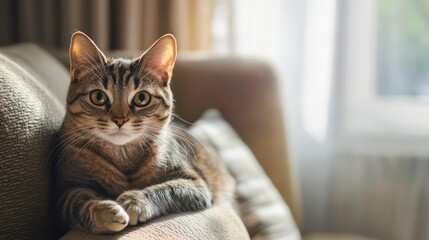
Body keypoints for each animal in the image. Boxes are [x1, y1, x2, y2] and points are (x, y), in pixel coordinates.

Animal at [52, 31, 237, 233]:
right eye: (98, 96)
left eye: (141, 98)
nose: (120, 119)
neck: (123, 158)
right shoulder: (67, 189)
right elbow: (80, 203)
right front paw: (104, 211)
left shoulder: (196, 184)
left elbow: (166, 189)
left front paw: (134, 202)